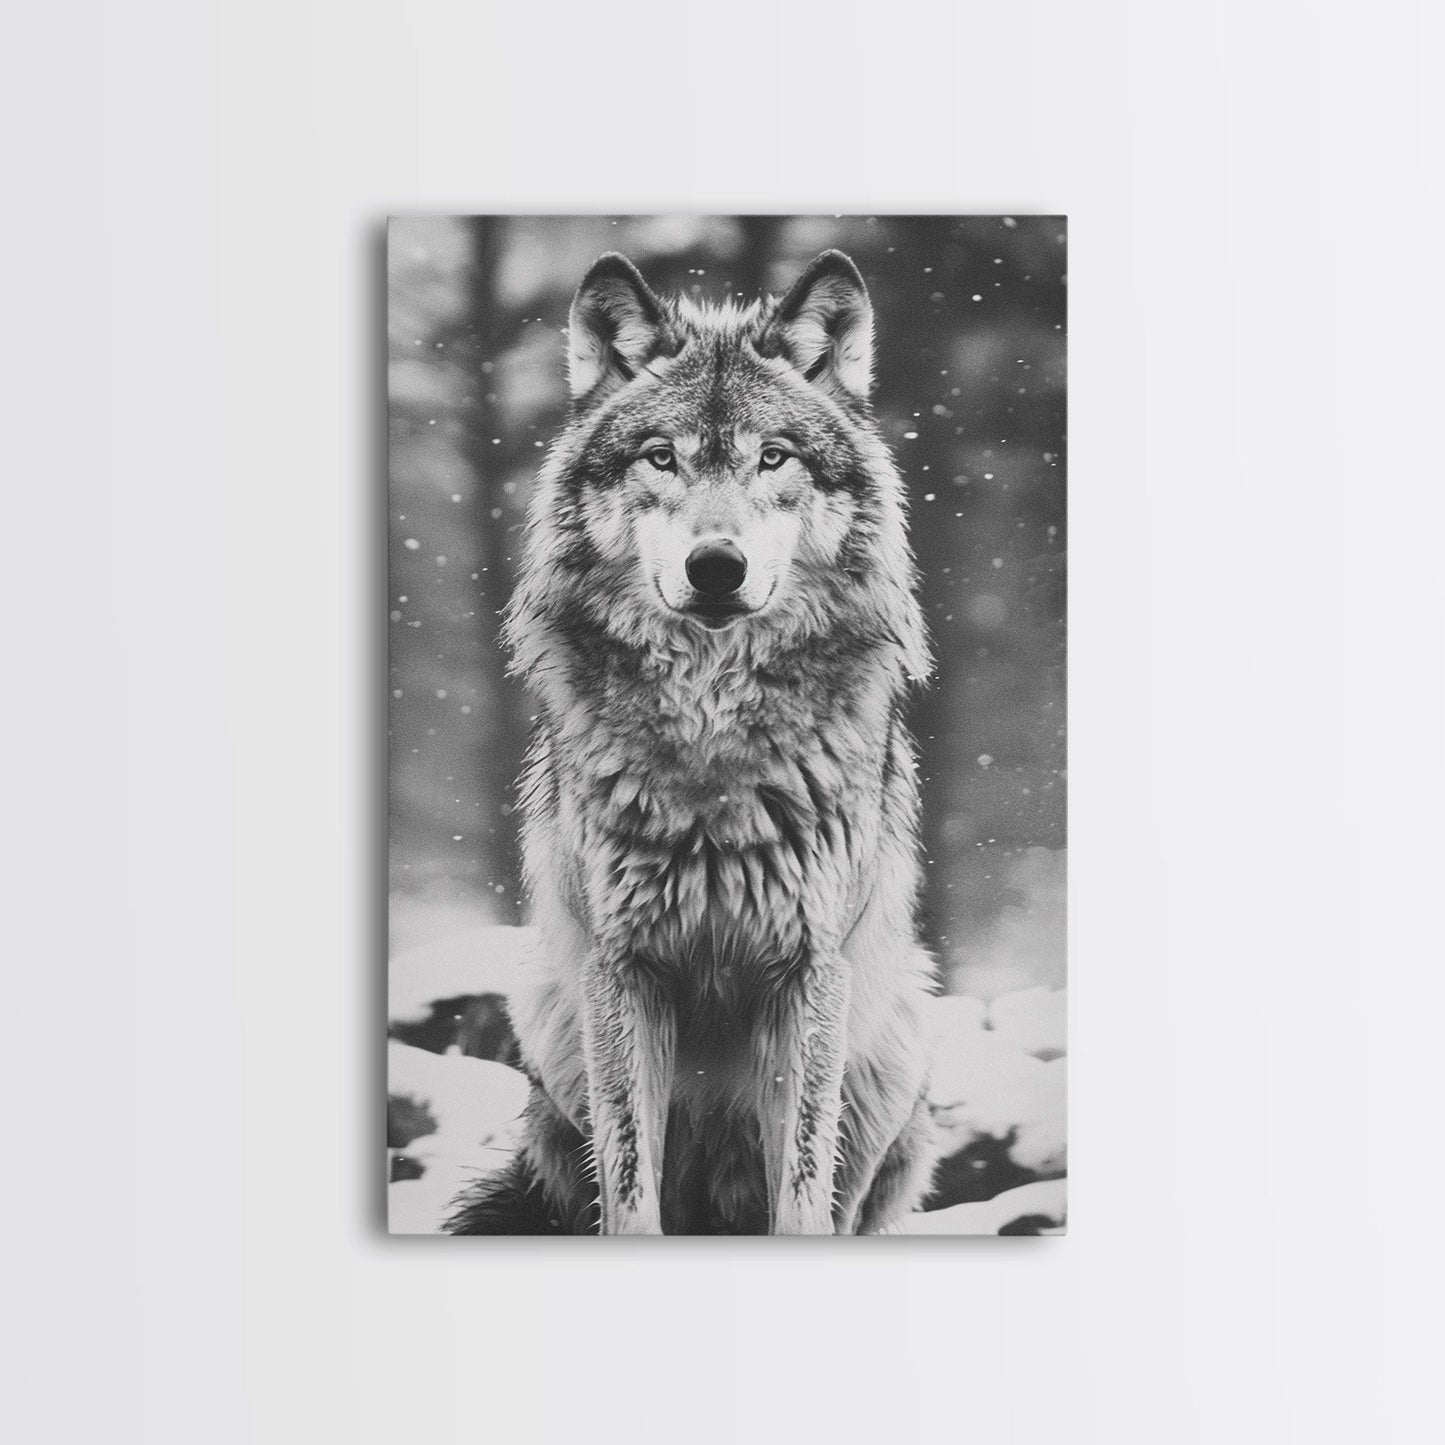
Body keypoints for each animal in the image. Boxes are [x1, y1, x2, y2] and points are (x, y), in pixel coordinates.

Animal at [447, 249, 937, 1234]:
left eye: (773, 456)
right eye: (661, 456)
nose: (716, 566)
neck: (713, 730)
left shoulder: (808, 970)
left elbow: (802, 1191)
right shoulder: (621, 968)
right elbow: (629, 1189)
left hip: (897, 1030)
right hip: (549, 1014)